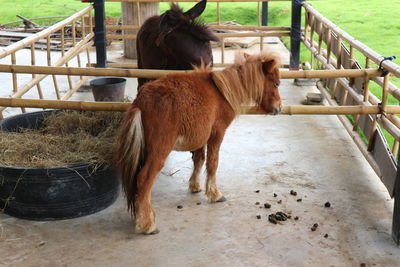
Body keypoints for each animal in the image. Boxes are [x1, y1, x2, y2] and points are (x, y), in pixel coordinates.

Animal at [115, 51, 282, 234]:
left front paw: (195, 186)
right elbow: (212, 163)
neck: (222, 92)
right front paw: (215, 194)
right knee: (144, 179)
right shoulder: (217, 134)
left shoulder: (201, 137)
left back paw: (144, 215)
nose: (279, 108)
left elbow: (199, 160)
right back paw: (147, 224)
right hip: (159, 151)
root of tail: (141, 101)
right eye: (276, 83)